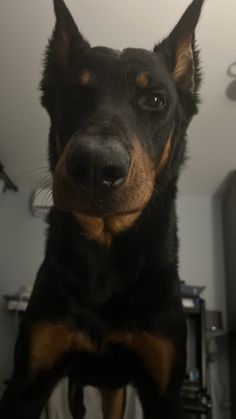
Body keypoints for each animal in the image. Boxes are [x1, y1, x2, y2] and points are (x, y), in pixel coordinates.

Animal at [0, 0, 204, 418]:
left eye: (155, 100)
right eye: (74, 96)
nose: (95, 166)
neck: (105, 252)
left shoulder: (164, 390)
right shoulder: (27, 382)